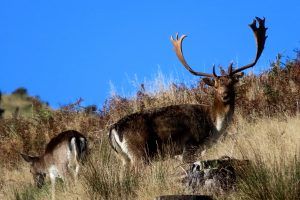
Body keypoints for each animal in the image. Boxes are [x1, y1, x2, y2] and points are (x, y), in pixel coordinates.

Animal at [108, 17, 268, 169]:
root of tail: (113, 129)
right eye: (215, 86)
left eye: (232, 83)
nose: (225, 95)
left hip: (124, 158)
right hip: (139, 152)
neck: (214, 125)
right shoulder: (191, 146)